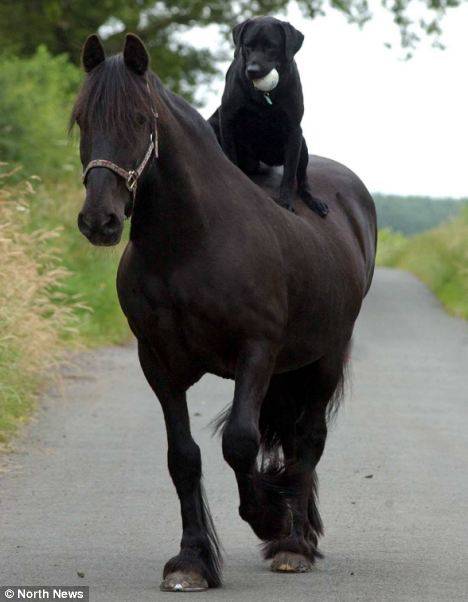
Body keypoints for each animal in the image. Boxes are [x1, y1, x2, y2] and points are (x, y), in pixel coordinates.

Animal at [72, 34, 376, 592]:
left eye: (141, 120)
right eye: (82, 119)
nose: (99, 220)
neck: (192, 244)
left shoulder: (255, 351)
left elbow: (239, 442)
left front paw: (269, 517)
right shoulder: (158, 363)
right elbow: (183, 458)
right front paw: (191, 561)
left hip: (322, 358)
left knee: (308, 440)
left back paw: (293, 544)